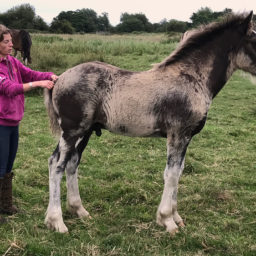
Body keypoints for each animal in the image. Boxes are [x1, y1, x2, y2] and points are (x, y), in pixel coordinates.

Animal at [44, 13, 256, 235]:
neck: (191, 79)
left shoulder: (186, 137)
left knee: (71, 163)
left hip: (85, 132)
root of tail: (59, 78)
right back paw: (57, 221)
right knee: (56, 165)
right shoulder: (178, 134)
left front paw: (176, 217)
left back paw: (79, 210)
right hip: (72, 131)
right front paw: (167, 220)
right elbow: (171, 174)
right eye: (254, 39)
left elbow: (178, 171)